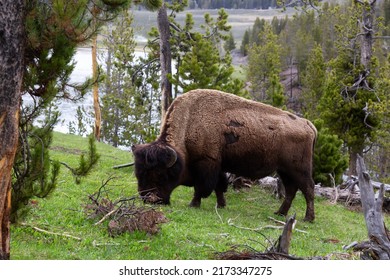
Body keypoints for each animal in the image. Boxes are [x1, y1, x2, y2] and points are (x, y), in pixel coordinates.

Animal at [131, 89, 316, 221]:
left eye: (160, 174)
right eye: (138, 174)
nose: (148, 199)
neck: (189, 122)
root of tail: (308, 124)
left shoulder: (206, 164)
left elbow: (202, 187)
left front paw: (193, 204)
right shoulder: (218, 166)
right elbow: (219, 186)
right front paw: (221, 205)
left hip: (299, 169)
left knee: (308, 188)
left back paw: (308, 218)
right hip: (285, 170)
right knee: (291, 191)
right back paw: (280, 213)